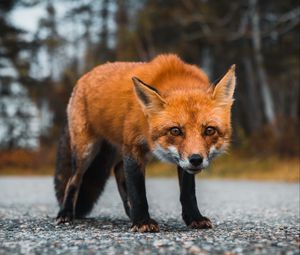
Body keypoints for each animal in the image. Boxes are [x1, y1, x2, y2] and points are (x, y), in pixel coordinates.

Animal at [54, 54, 237, 233]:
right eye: (175, 131)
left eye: (209, 130)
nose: (196, 159)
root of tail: (84, 76)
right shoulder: (133, 147)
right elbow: (137, 190)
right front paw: (142, 221)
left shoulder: (178, 161)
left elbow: (188, 192)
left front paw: (194, 218)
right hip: (86, 151)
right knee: (73, 180)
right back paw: (65, 213)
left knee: (118, 170)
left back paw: (129, 213)